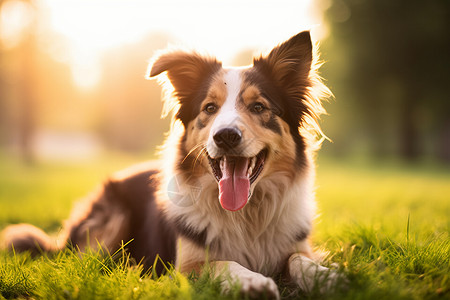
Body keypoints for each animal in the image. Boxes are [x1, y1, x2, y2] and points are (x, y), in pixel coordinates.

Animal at [1, 30, 338, 298]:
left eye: (258, 107)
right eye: (210, 108)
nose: (226, 136)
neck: (247, 217)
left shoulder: (295, 246)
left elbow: (298, 259)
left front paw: (327, 277)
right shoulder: (186, 268)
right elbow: (222, 262)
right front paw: (251, 281)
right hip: (113, 217)